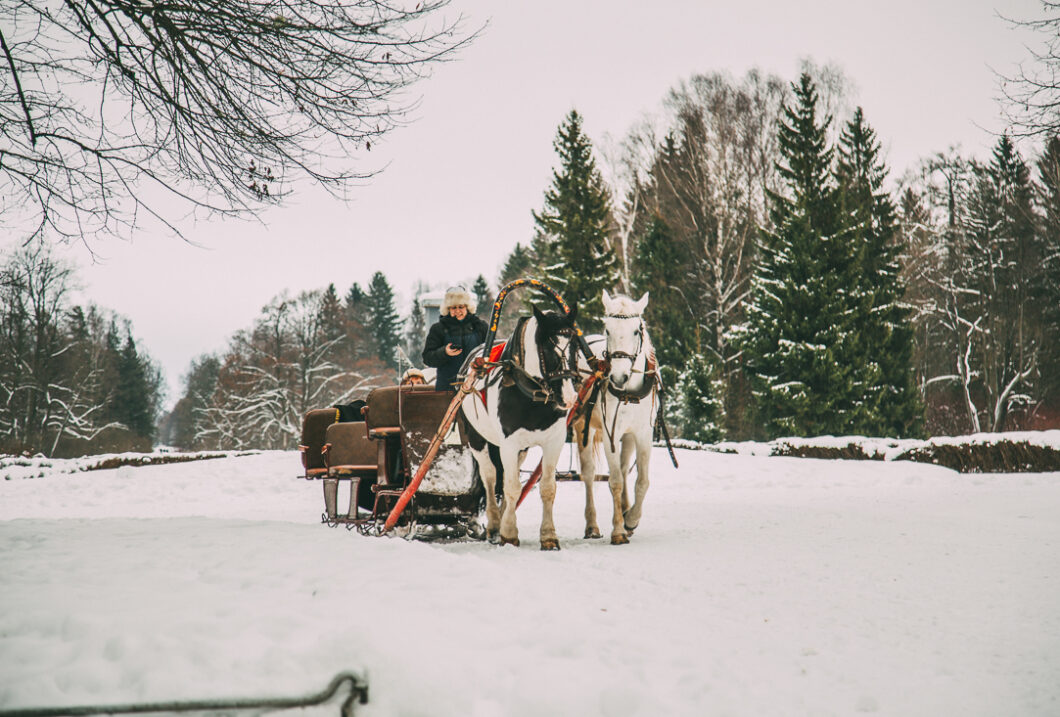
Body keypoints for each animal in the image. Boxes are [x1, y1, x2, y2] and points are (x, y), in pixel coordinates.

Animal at [462, 303, 585, 547]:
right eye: (548, 348)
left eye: (576, 346)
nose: (569, 397)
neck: (531, 394)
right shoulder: (509, 443)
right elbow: (511, 487)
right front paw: (509, 533)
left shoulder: (554, 442)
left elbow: (547, 487)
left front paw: (548, 535)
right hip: (477, 439)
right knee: (490, 476)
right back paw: (494, 524)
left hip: (521, 449)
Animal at [576, 290, 657, 543]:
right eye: (607, 330)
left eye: (636, 330)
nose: (618, 377)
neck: (628, 392)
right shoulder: (609, 434)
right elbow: (615, 481)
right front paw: (619, 530)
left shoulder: (643, 434)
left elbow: (642, 481)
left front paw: (631, 519)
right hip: (583, 426)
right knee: (589, 474)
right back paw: (591, 525)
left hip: (628, 435)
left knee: (623, 467)